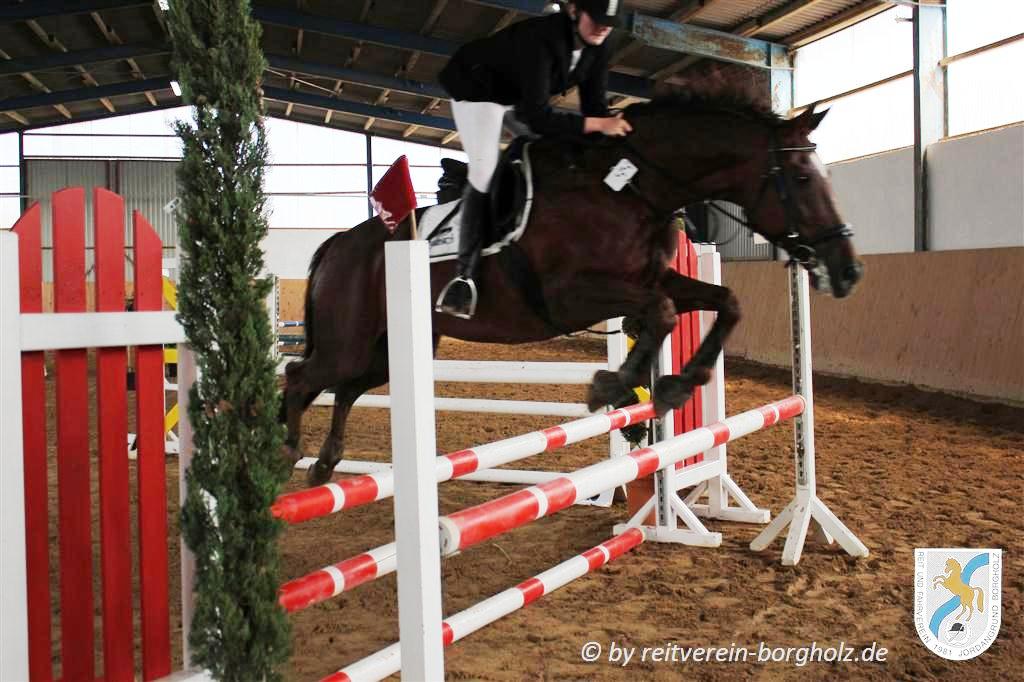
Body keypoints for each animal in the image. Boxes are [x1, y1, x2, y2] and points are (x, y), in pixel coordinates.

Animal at [282, 92, 863, 486]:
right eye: (803, 178)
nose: (848, 270)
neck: (631, 189)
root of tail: (338, 243)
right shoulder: (570, 296)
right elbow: (662, 312)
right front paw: (614, 387)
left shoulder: (649, 279)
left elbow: (723, 303)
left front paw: (673, 385)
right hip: (350, 341)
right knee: (300, 375)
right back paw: (287, 451)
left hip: (390, 348)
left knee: (345, 387)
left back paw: (325, 462)